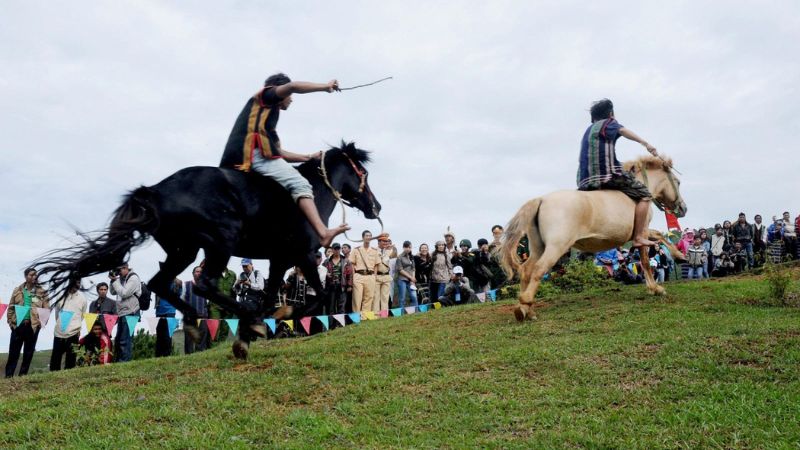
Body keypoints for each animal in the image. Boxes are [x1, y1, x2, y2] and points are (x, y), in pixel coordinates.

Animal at [39, 142, 382, 358]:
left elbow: (273, 293)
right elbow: (316, 297)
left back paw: (196, 321)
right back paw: (232, 318)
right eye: (363, 174)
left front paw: (255, 330)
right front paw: (269, 322)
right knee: (202, 283)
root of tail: (155, 191)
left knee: (161, 283)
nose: (375, 206)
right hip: (219, 243)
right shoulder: (302, 256)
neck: (311, 195)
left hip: (186, 250)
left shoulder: (280, 261)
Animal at [496, 156, 684, 322]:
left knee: (526, 270)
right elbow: (645, 258)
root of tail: (541, 199)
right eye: (678, 182)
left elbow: (659, 235)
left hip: (538, 247)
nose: (683, 208)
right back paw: (525, 304)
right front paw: (656, 287)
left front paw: (679, 256)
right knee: (538, 269)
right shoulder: (642, 232)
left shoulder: (641, 233)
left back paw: (527, 310)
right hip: (556, 247)